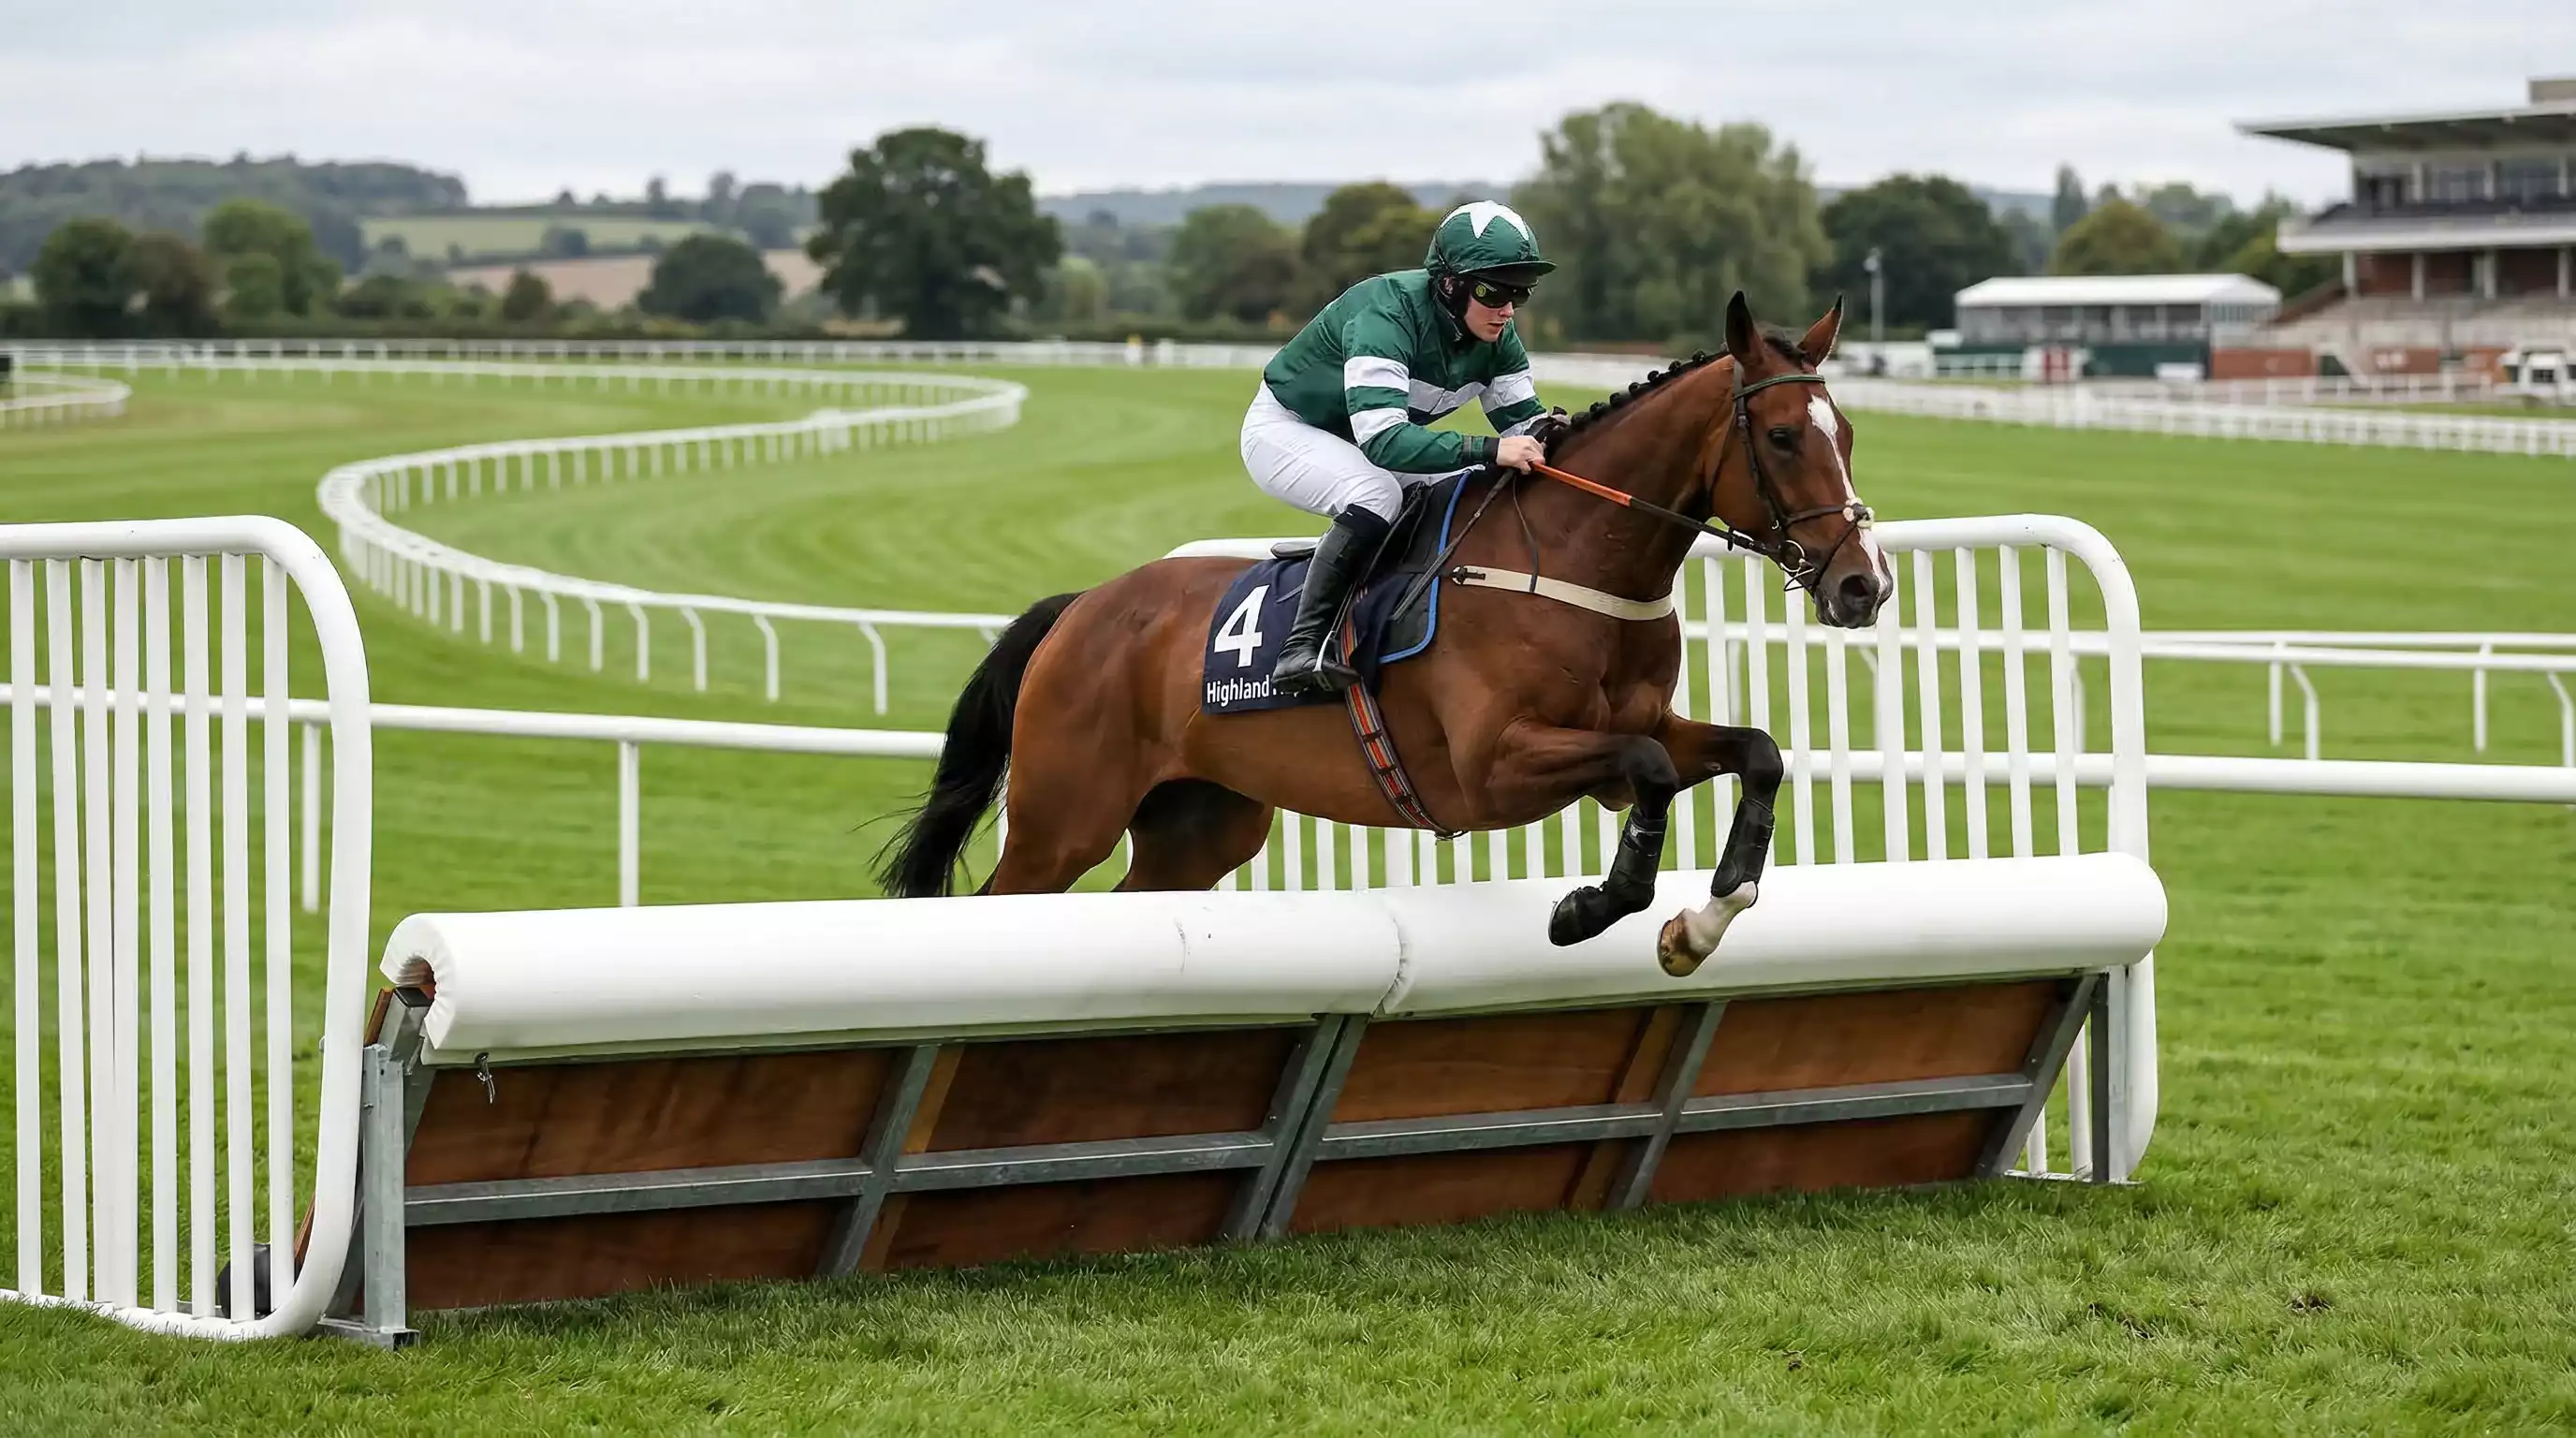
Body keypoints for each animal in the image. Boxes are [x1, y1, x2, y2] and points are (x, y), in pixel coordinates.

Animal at [878, 292, 1891, 976]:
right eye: (1782, 437)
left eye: (1846, 431)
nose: (1863, 583)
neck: (1574, 562)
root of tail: (1081, 606)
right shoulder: (1494, 764)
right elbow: (1642, 769)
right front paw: (1589, 908)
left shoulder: (1650, 725)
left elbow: (1754, 753)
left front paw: (1701, 923)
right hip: (1063, 818)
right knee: (997, 902)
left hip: (1200, 826)